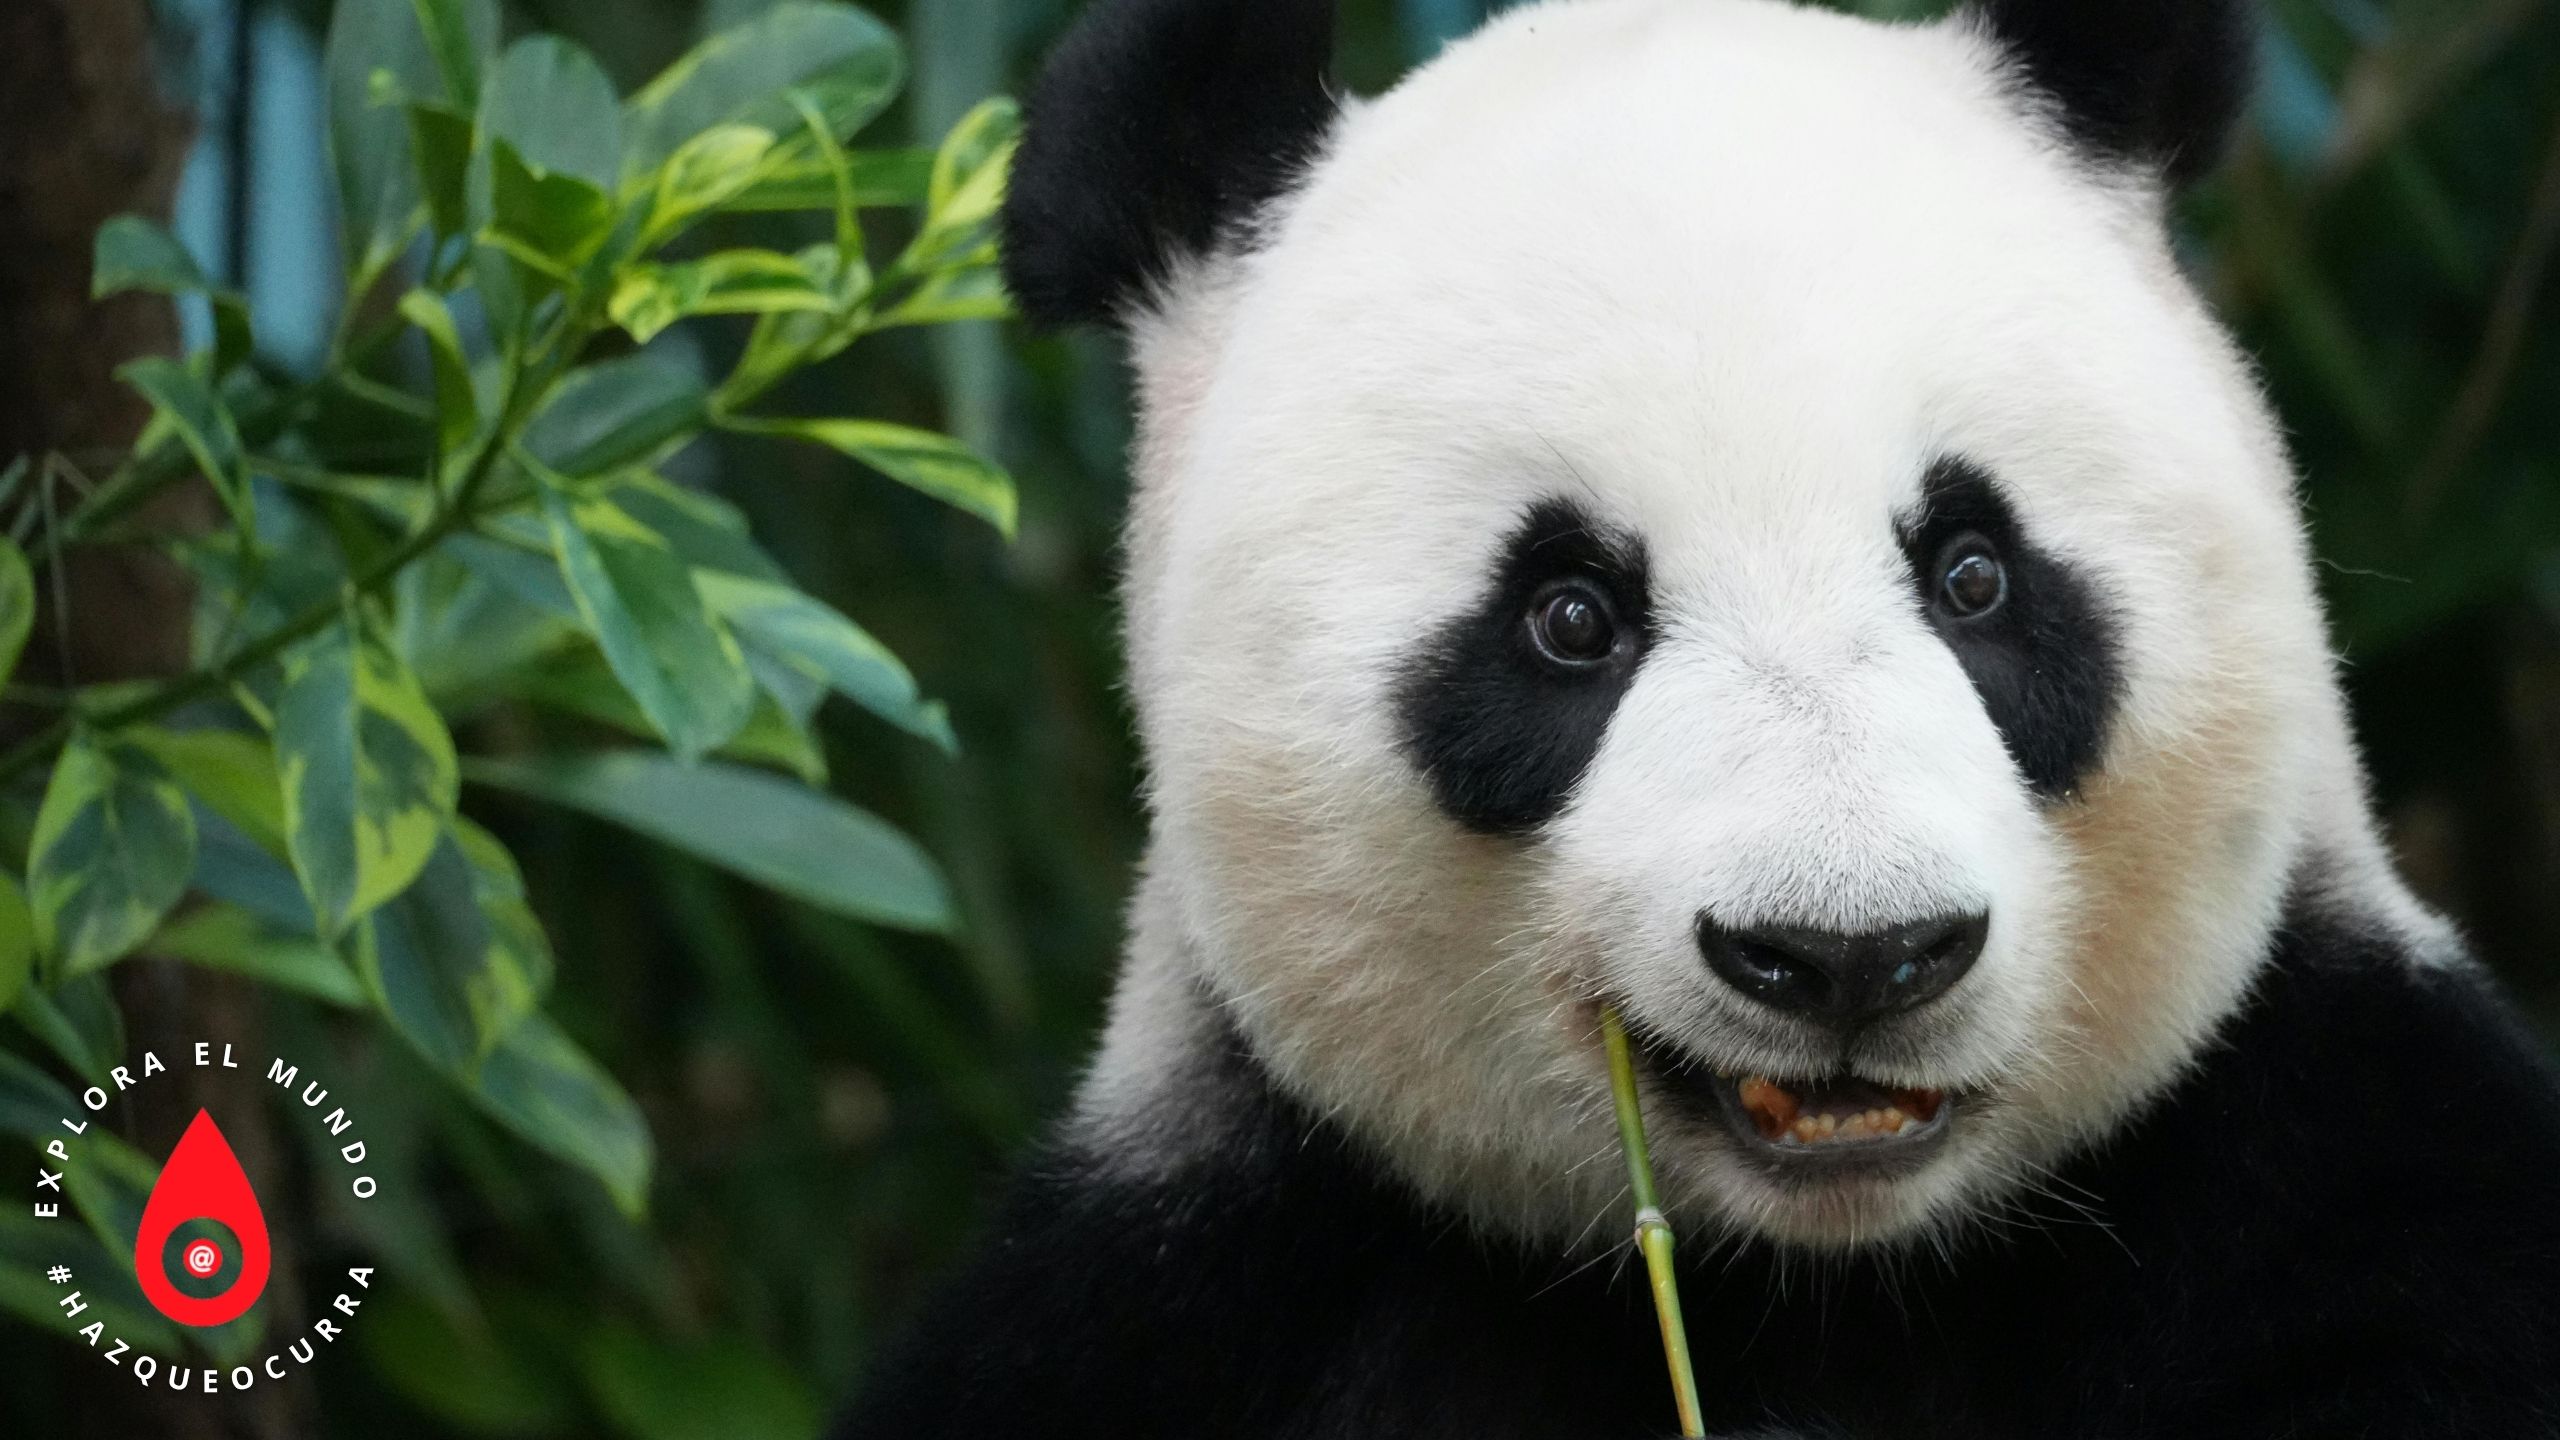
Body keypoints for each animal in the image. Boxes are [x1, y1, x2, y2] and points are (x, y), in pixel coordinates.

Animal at [839, 0, 2560, 1435]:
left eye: (1975, 573)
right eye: (1568, 618)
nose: (1854, 953)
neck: (1820, 1285)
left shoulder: (2354, 1171)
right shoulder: (1192, 1289)